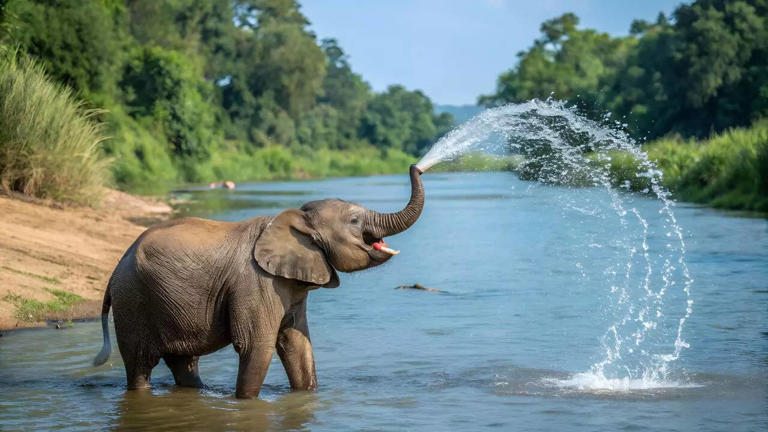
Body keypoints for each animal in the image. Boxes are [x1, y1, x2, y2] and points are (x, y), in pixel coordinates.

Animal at [93, 165, 424, 398]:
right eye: (354, 221)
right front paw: (245, 402)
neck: (294, 218)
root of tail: (116, 268)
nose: (417, 167)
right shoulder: (257, 283)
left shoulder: (289, 287)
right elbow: (257, 347)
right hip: (133, 300)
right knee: (140, 365)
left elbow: (298, 345)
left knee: (184, 362)